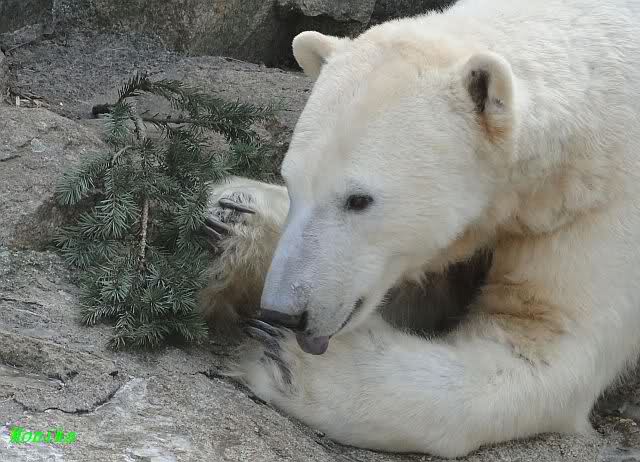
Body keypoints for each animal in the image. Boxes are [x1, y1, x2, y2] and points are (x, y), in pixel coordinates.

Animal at [201, 0, 640, 457]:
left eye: (359, 199)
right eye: (292, 182)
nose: (284, 313)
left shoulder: (599, 201)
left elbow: (540, 339)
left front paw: (285, 358)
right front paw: (233, 220)